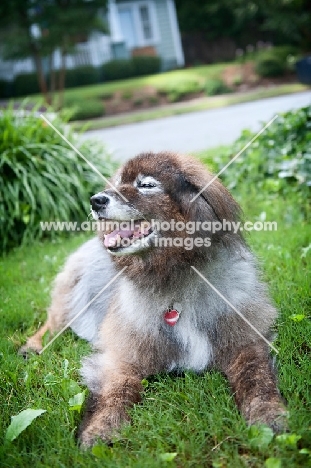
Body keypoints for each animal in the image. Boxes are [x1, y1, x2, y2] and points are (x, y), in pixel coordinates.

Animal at [20, 151, 288, 446]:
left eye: (146, 185)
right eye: (119, 182)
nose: (95, 200)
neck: (174, 277)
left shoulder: (246, 343)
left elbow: (257, 379)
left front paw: (268, 415)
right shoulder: (122, 358)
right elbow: (116, 392)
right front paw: (101, 429)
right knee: (51, 324)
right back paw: (31, 347)